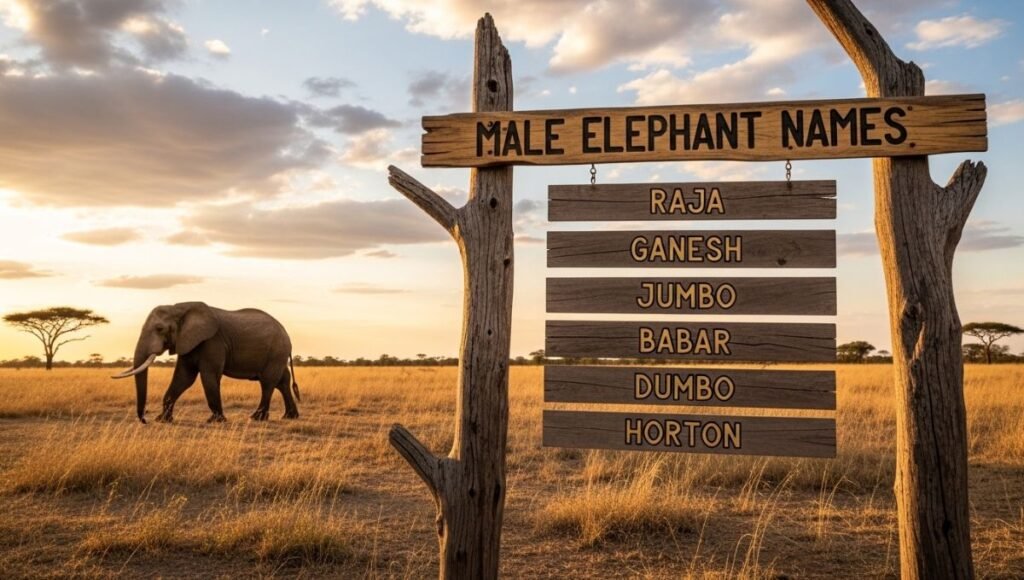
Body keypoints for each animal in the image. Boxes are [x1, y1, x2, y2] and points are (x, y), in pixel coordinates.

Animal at [112, 302, 300, 424]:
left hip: (276, 351)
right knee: (282, 381)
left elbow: (209, 377)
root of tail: (287, 334)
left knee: (268, 382)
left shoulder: (212, 341)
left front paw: (216, 421)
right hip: (277, 354)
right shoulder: (187, 341)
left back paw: (257, 418)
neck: (179, 308)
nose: (145, 419)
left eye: (159, 329)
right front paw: (163, 420)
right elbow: (183, 378)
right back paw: (289, 417)